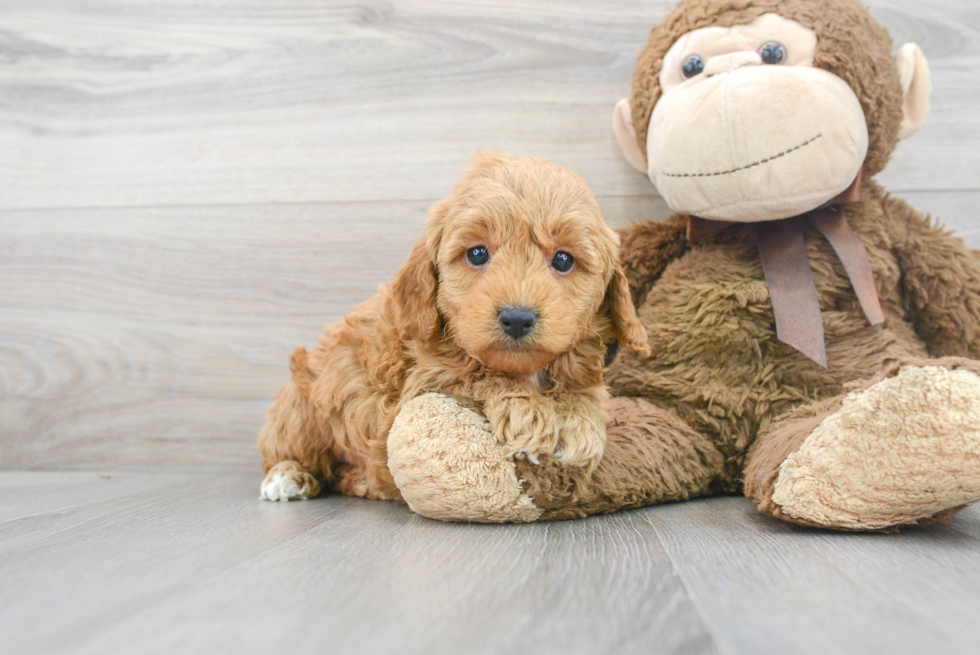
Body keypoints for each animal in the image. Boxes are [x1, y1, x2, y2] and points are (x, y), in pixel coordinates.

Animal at [258, 152, 652, 502]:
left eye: (564, 260)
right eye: (477, 254)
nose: (517, 318)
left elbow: (585, 390)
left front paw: (577, 421)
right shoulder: (423, 381)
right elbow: (481, 375)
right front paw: (528, 413)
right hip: (298, 411)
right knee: (285, 452)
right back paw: (287, 477)